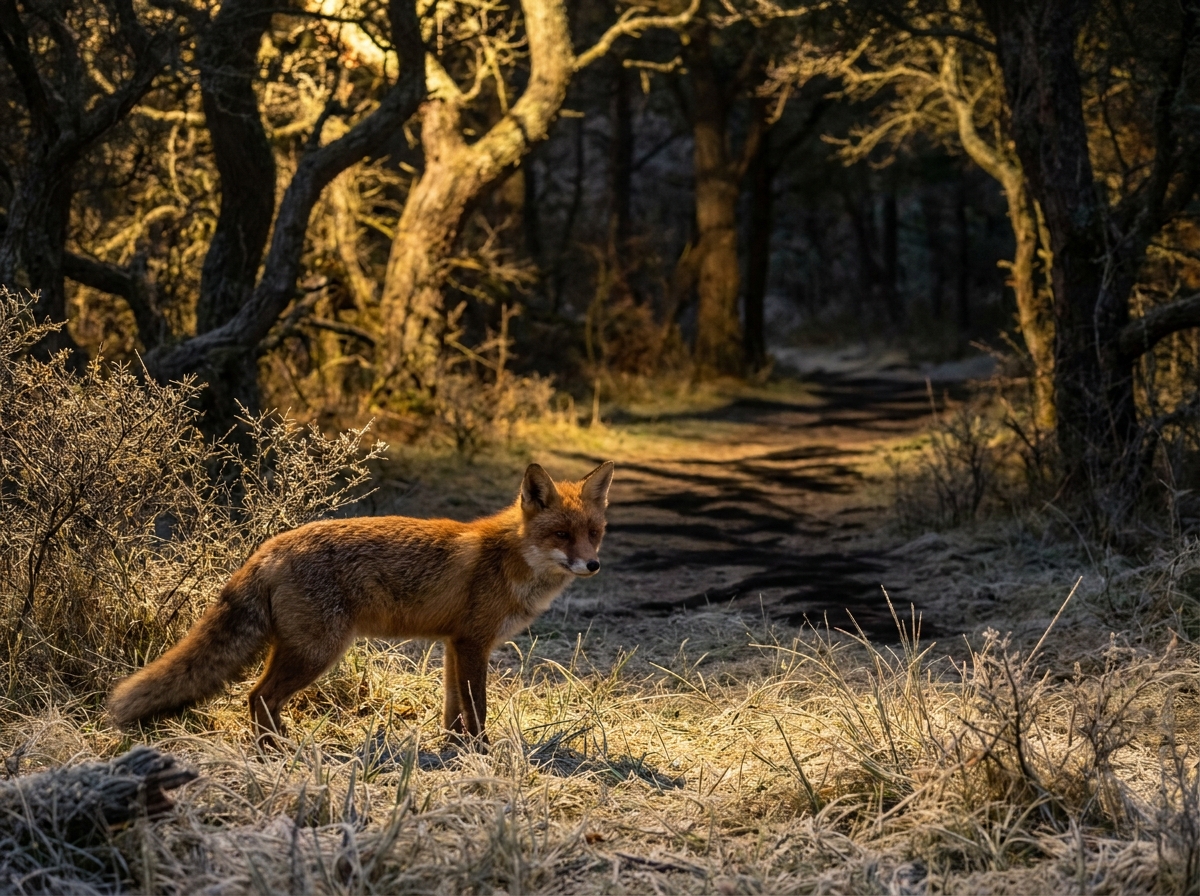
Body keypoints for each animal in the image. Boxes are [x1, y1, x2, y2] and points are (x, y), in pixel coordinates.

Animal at [108, 461, 615, 744]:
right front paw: (484, 754)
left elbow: (453, 711)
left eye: (594, 533)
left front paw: (456, 751)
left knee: (258, 699)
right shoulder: (474, 643)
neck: (509, 560)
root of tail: (270, 546)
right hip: (318, 652)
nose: (592, 566)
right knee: (258, 697)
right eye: (561, 535)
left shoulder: (454, 644)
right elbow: (478, 709)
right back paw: (278, 753)